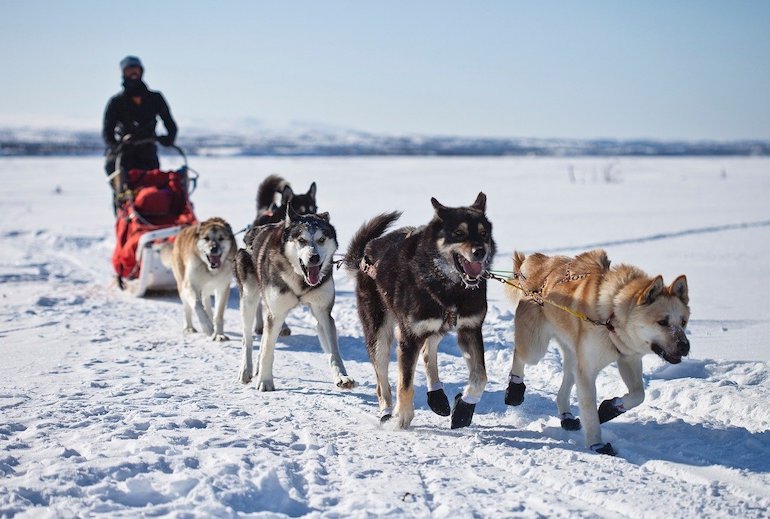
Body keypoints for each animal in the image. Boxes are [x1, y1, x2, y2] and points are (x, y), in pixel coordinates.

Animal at [232, 209, 356, 392]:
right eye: (301, 240)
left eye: (321, 239)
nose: (314, 257)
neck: (300, 280)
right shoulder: (276, 314)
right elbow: (268, 349)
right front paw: (265, 381)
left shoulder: (323, 313)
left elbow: (334, 352)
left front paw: (342, 376)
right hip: (249, 299)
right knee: (247, 338)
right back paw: (246, 369)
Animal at [344, 193, 498, 428]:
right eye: (458, 233)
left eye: (483, 233)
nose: (480, 252)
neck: (449, 287)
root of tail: (366, 253)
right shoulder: (409, 337)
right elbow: (405, 384)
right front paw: (402, 417)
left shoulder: (470, 329)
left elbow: (480, 376)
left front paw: (464, 407)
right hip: (379, 335)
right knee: (382, 381)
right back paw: (387, 412)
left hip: (436, 326)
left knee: (427, 351)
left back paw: (437, 396)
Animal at [504, 250, 688, 458]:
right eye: (662, 322)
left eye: (683, 322)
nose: (685, 346)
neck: (611, 317)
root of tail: (539, 261)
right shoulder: (587, 371)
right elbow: (590, 410)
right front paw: (596, 444)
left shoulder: (628, 359)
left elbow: (639, 394)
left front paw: (610, 408)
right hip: (535, 348)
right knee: (519, 354)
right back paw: (514, 389)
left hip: (573, 357)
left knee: (564, 387)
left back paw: (567, 417)